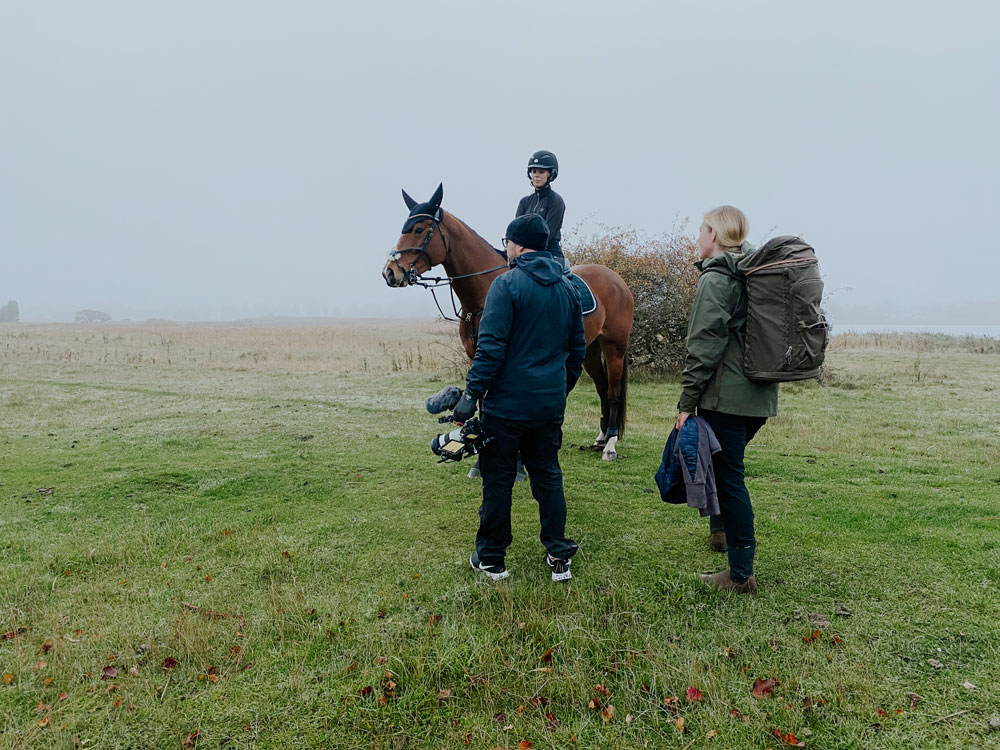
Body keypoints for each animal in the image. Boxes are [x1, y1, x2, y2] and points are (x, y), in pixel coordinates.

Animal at [382, 185, 632, 462]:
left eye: (418, 229)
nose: (390, 272)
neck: (482, 293)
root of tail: (616, 280)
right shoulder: (478, 357)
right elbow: (481, 403)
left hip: (615, 348)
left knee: (612, 392)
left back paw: (610, 444)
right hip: (590, 351)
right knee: (601, 387)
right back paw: (601, 438)